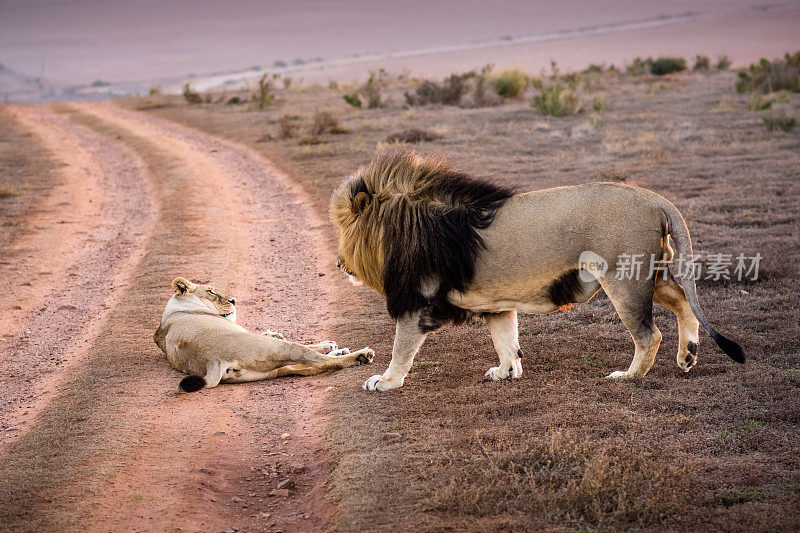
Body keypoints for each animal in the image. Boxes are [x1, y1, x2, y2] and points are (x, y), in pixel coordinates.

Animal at [154, 278, 376, 390]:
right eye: (211, 291)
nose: (234, 300)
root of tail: (211, 361)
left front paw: (334, 347)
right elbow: (309, 346)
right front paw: (330, 346)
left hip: (271, 369)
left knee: (309, 366)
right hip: (274, 349)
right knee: (318, 360)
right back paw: (361, 355)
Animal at [330, 149, 744, 390]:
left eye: (341, 231)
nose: (337, 262)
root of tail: (655, 198)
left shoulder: (417, 300)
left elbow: (401, 347)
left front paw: (386, 381)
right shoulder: (495, 303)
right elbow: (506, 341)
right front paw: (506, 373)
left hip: (623, 280)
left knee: (649, 334)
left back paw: (629, 377)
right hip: (647, 275)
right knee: (683, 301)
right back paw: (687, 355)